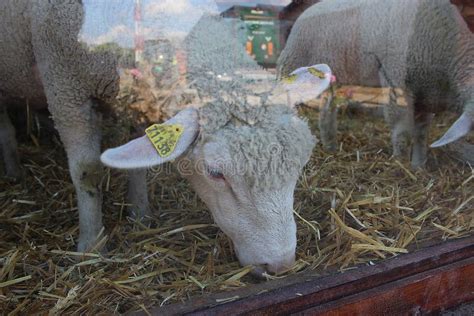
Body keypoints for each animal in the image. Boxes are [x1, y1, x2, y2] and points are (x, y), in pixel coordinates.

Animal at [0, 0, 148, 252]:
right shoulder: (66, 90)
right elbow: (87, 171)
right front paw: (92, 244)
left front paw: (140, 215)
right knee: (5, 129)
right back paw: (14, 171)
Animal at [278, 0, 474, 168]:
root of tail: (307, 11)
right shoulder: (395, 80)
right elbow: (402, 131)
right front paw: (400, 164)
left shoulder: (426, 93)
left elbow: (421, 134)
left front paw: (418, 166)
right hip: (290, 63)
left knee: (327, 110)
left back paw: (330, 146)